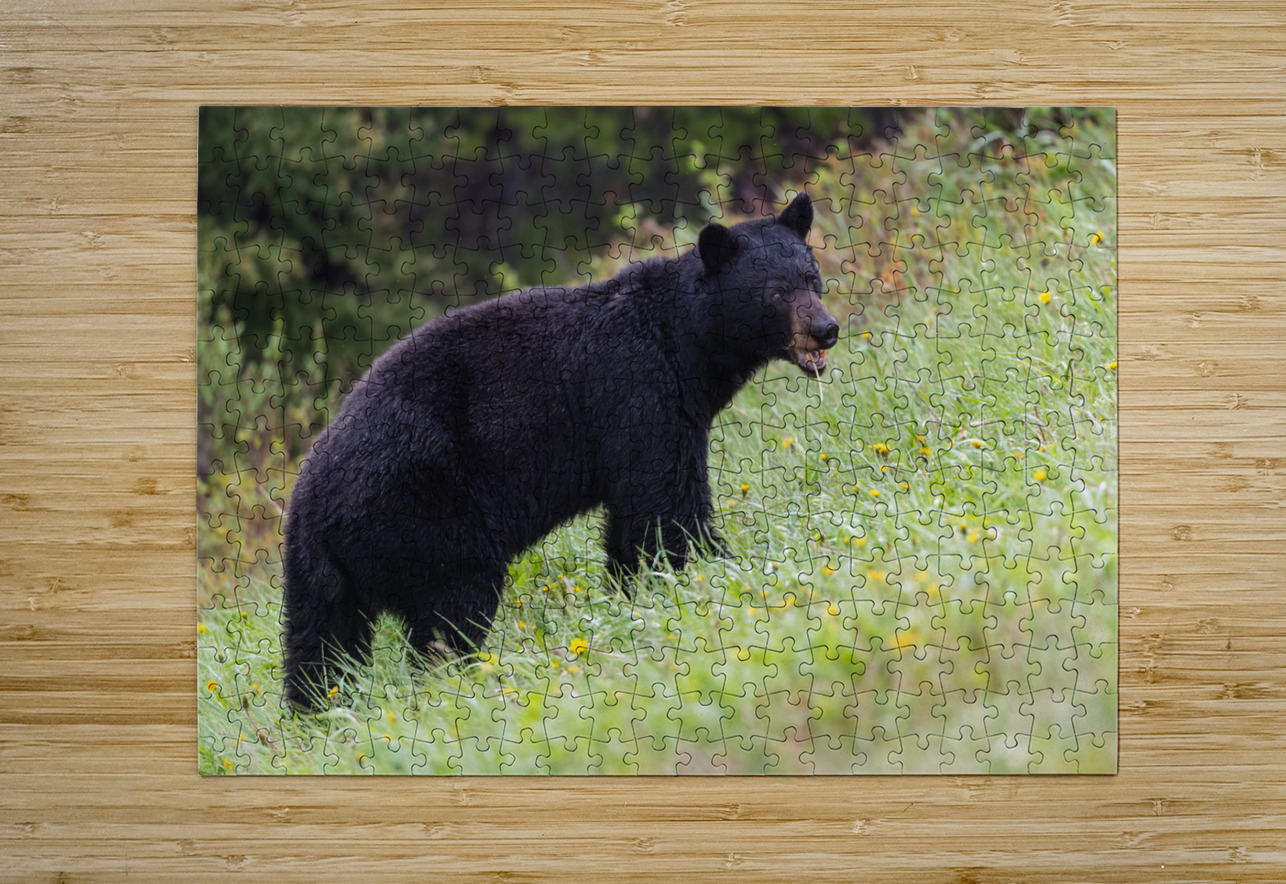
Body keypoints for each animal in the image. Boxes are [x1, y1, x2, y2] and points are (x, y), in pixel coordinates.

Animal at [282, 192, 839, 708]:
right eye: (775, 292)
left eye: (812, 278)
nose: (825, 329)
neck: (685, 342)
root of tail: (311, 501)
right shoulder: (641, 396)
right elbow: (665, 504)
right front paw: (721, 569)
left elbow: (633, 522)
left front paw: (636, 590)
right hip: (425, 513)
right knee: (453, 606)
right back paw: (463, 677)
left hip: (324, 573)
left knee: (320, 642)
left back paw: (318, 709)